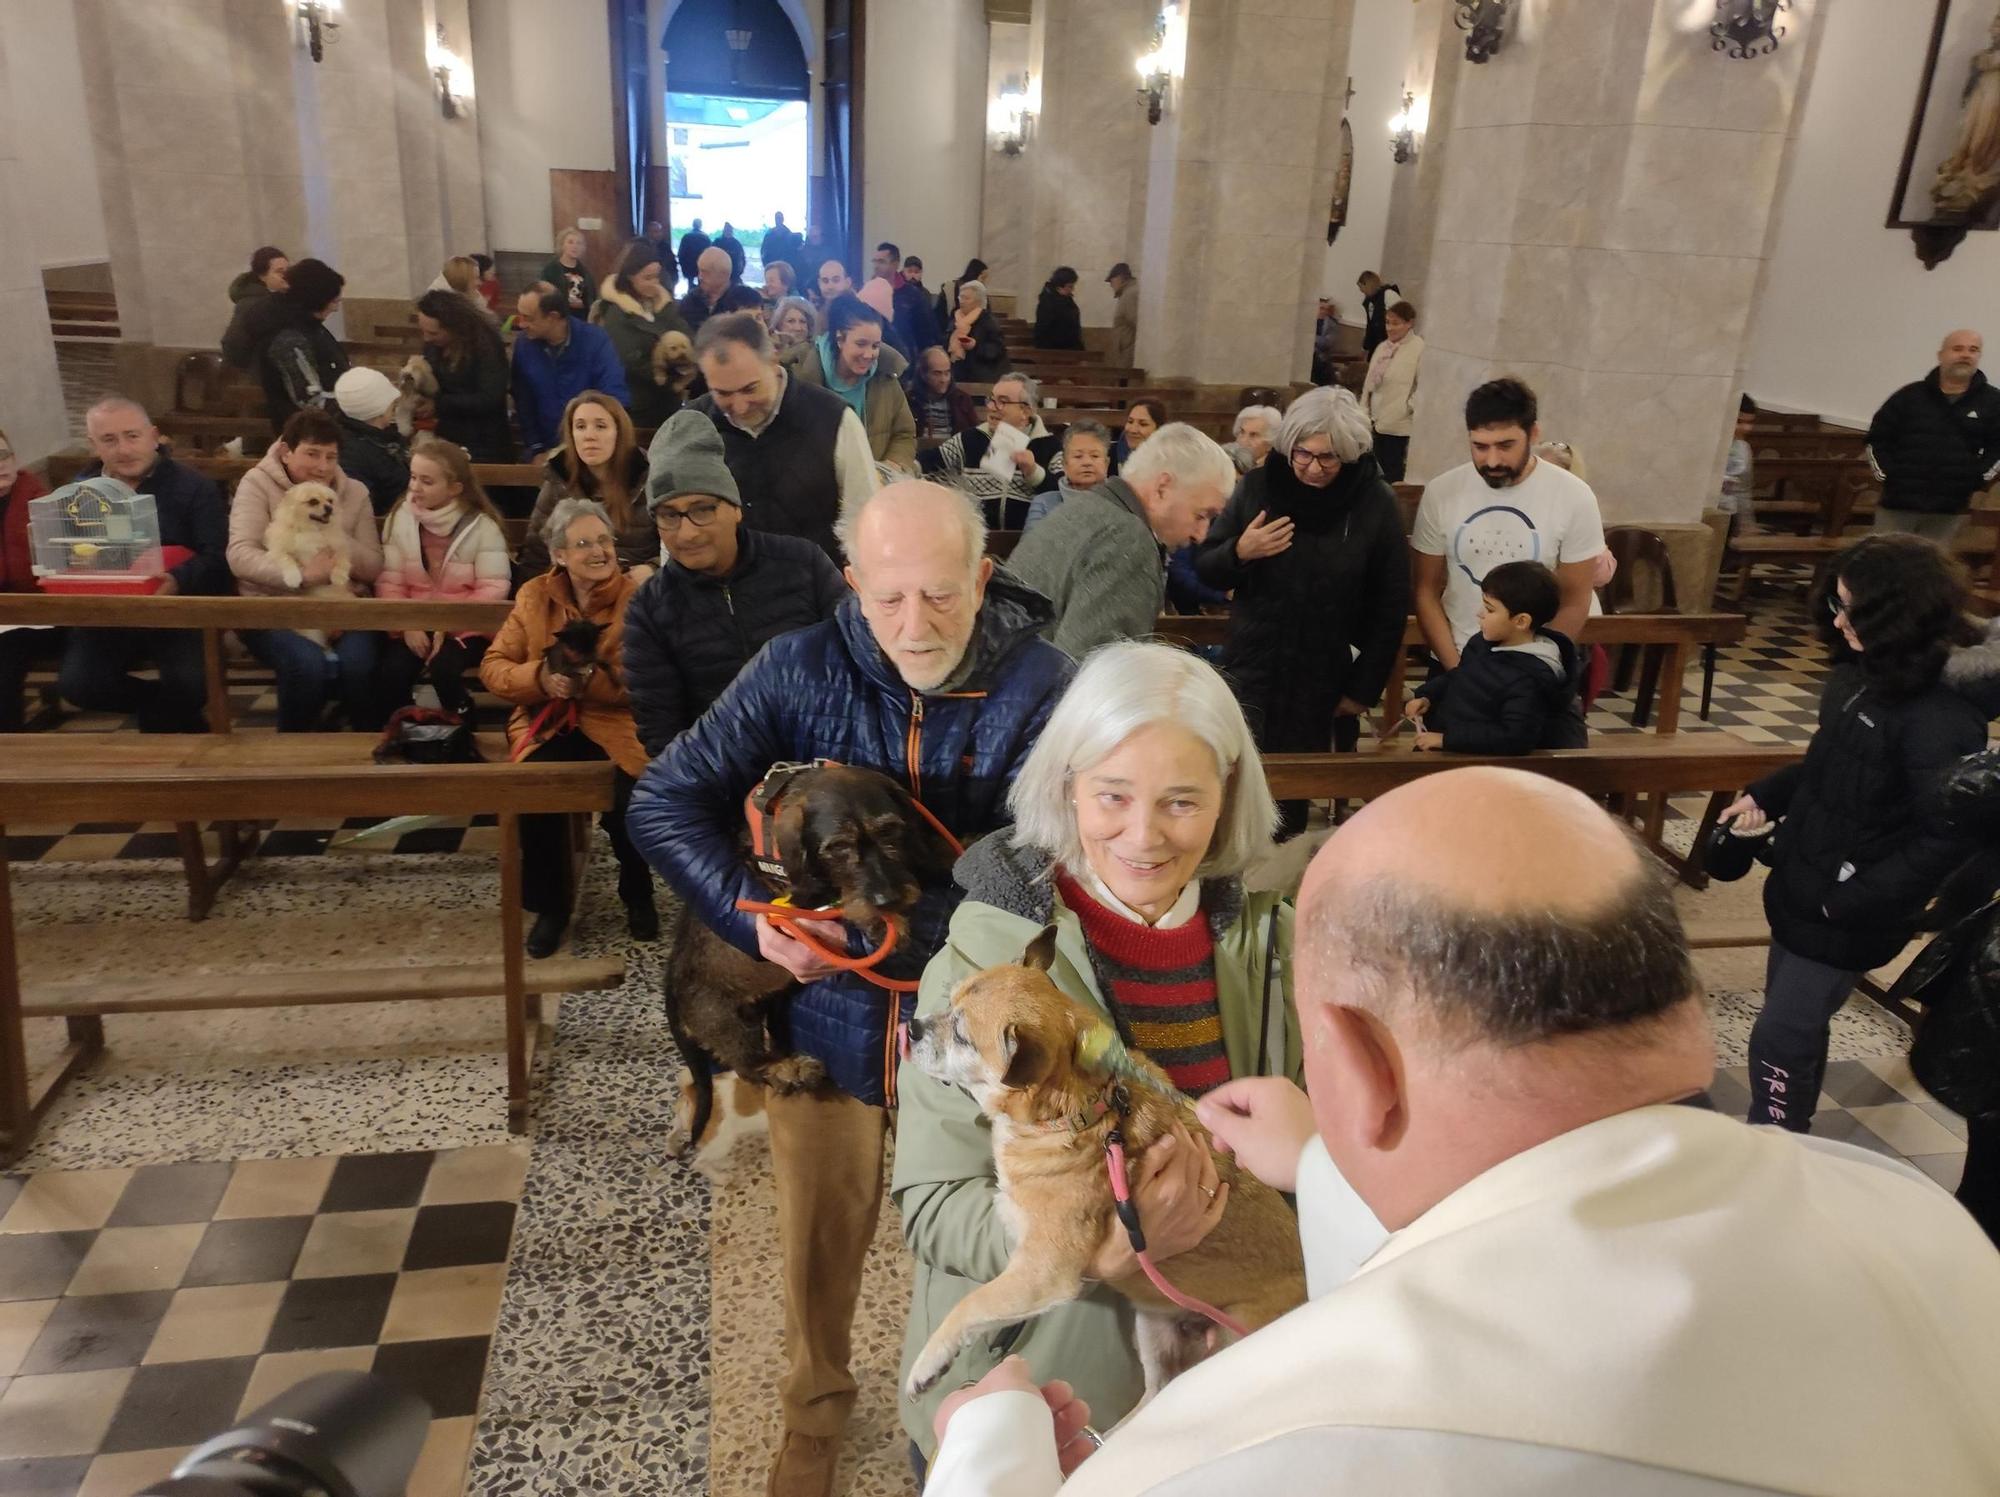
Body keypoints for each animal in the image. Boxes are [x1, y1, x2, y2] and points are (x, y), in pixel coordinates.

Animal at [264, 480, 354, 644]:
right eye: (313, 501)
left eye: (330, 501)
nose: (329, 508)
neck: (312, 530)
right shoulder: (277, 549)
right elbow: (287, 559)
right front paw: (293, 578)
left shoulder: (339, 546)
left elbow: (342, 560)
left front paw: (339, 577)